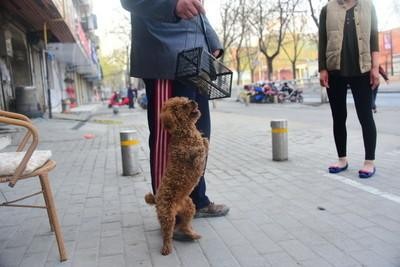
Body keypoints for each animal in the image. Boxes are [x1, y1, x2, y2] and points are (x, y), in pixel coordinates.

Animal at [146, 97, 209, 256]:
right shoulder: (191, 156)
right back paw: (166, 248)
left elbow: (205, 142)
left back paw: (193, 234)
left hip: (189, 208)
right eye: (182, 107)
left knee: (184, 226)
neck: (186, 132)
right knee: (167, 234)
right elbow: (198, 151)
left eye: (186, 100)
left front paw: (203, 139)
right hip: (167, 216)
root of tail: (156, 199)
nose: (193, 101)